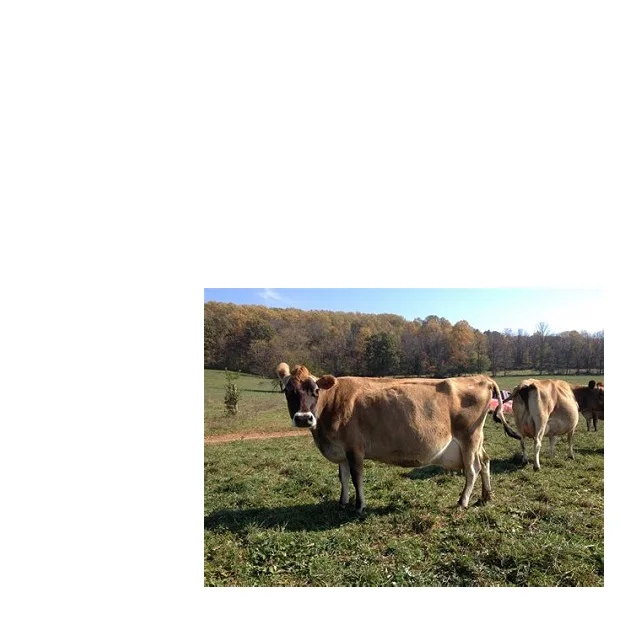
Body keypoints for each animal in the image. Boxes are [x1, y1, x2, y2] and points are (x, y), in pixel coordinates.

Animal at [276, 362, 514, 514]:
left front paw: (359, 506)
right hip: (476, 440)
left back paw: (463, 501)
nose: (303, 418)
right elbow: (342, 477)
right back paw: (486, 496)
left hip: (468, 438)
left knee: (472, 470)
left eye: (315, 391)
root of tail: (481, 378)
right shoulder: (341, 450)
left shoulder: (355, 448)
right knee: (485, 462)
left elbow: (356, 477)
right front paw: (342, 502)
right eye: (287, 391)